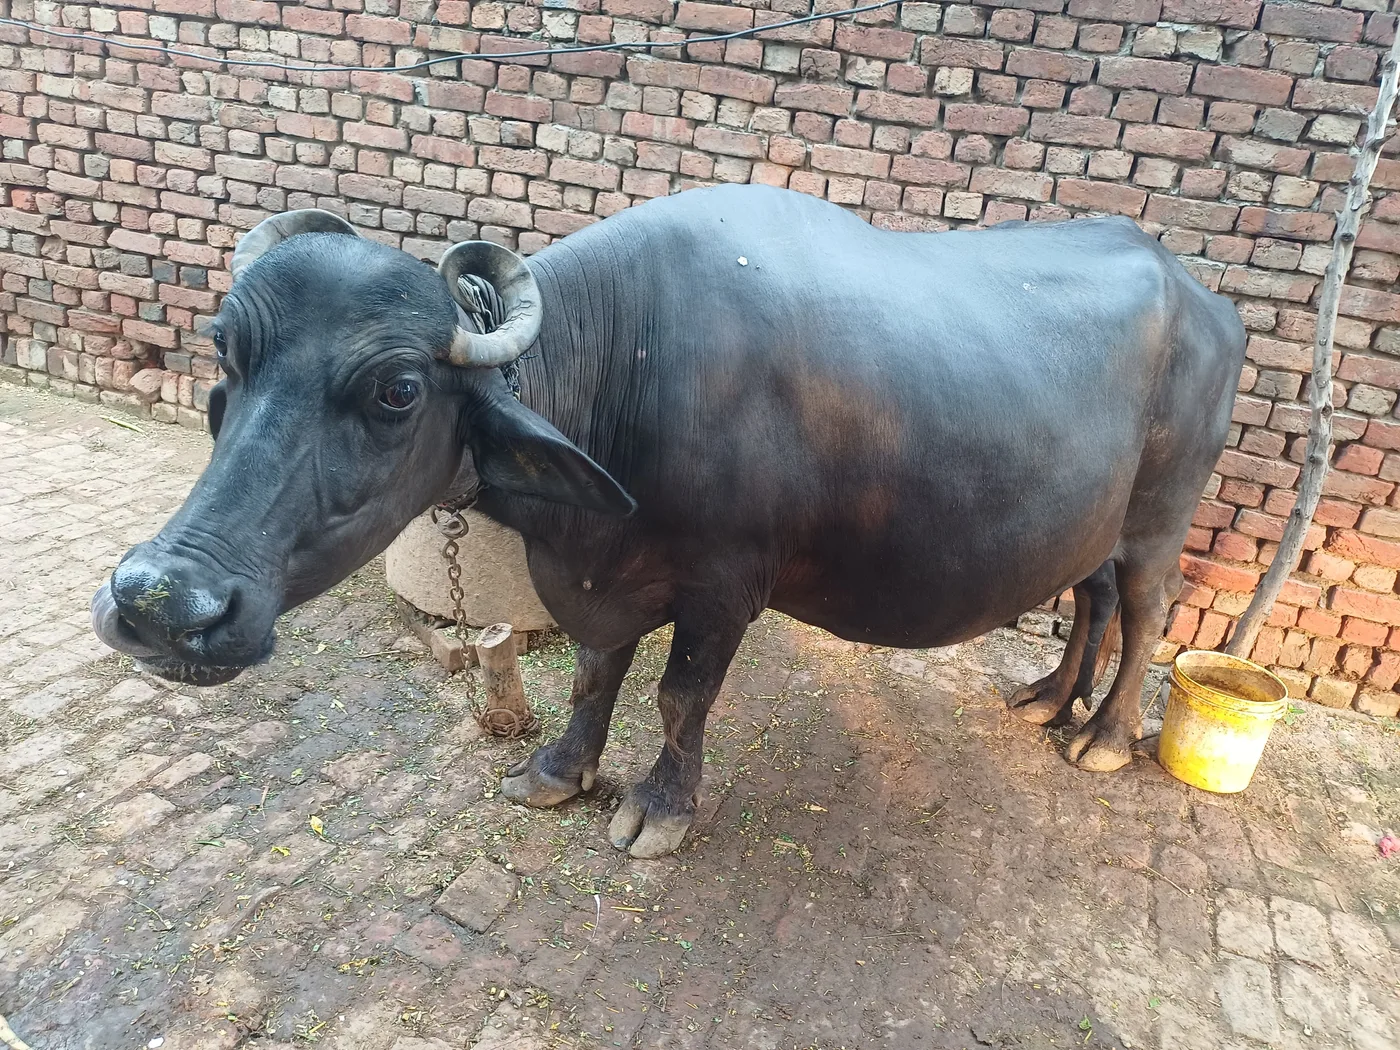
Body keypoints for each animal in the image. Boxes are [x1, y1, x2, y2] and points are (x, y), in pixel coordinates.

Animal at [92, 185, 1245, 858]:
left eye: (396, 391)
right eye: (227, 353)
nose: (159, 602)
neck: (630, 363)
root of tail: (1206, 300)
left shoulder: (726, 587)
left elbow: (681, 697)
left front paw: (659, 808)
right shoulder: (601, 576)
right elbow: (595, 675)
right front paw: (558, 771)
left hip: (1162, 514)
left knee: (1146, 611)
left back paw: (1102, 737)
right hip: (1084, 520)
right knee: (1090, 597)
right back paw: (1046, 697)